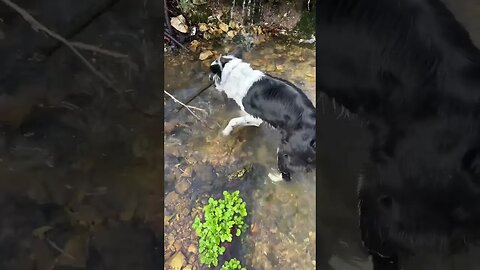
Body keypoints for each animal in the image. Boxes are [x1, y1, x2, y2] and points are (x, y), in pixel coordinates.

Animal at [209, 47, 316, 181]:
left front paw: (225, 132)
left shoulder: (255, 118)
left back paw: (274, 177)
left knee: (286, 175)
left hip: (285, 150)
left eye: (211, 73)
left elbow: (233, 120)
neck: (234, 71)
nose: (209, 77)